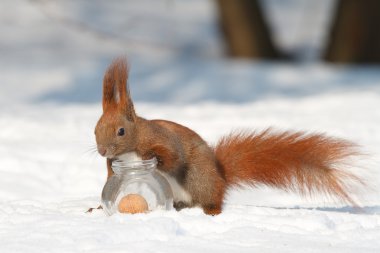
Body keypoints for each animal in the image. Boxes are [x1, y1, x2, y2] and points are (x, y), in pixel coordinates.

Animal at [93, 57, 364, 215]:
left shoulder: (161, 138)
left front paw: (156, 159)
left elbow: (173, 156)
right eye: (95, 130)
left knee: (210, 199)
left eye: (121, 131)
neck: (131, 149)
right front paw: (97, 206)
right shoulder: (113, 166)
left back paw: (211, 210)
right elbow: (111, 180)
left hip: (199, 178)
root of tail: (221, 178)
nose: (102, 151)